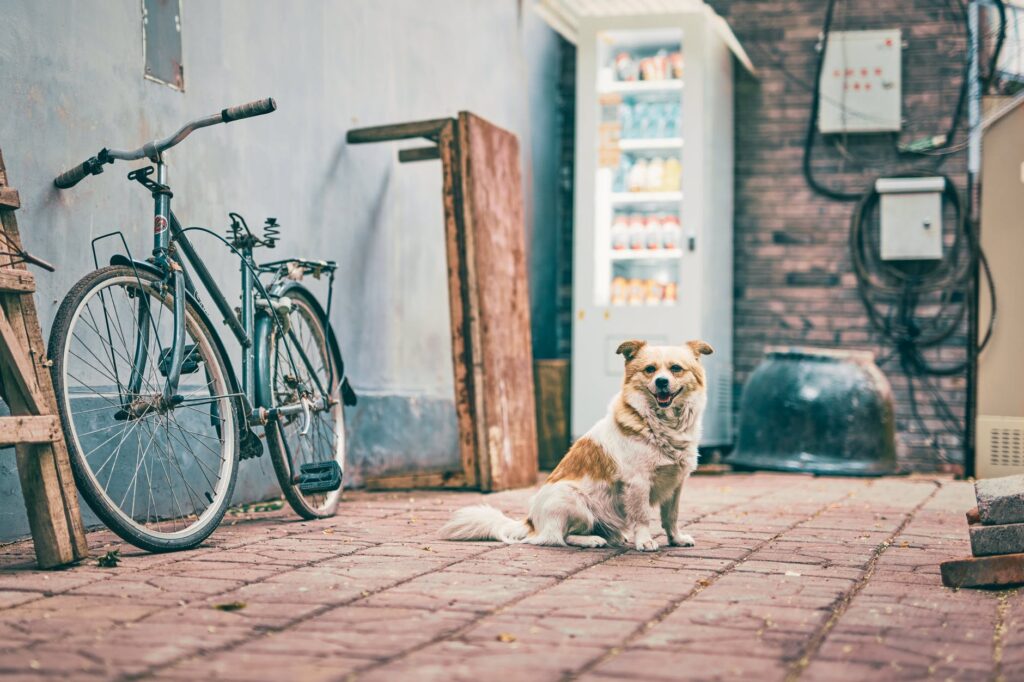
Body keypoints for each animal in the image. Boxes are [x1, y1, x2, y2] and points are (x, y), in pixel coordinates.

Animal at [438, 337, 712, 548]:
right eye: (650, 370)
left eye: (675, 368)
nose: (661, 382)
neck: (662, 425)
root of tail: (531, 522)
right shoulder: (638, 483)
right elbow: (642, 516)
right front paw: (645, 541)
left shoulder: (676, 484)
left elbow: (671, 516)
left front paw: (676, 539)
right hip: (573, 500)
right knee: (558, 537)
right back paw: (592, 540)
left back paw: (613, 537)